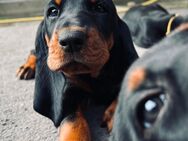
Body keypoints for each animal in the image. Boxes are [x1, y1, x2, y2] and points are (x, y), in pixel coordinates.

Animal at [17, 0, 138, 140]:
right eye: (53, 12)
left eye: (99, 8)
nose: (71, 40)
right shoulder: (68, 96)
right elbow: (73, 123)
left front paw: (114, 115)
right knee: (33, 51)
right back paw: (27, 67)